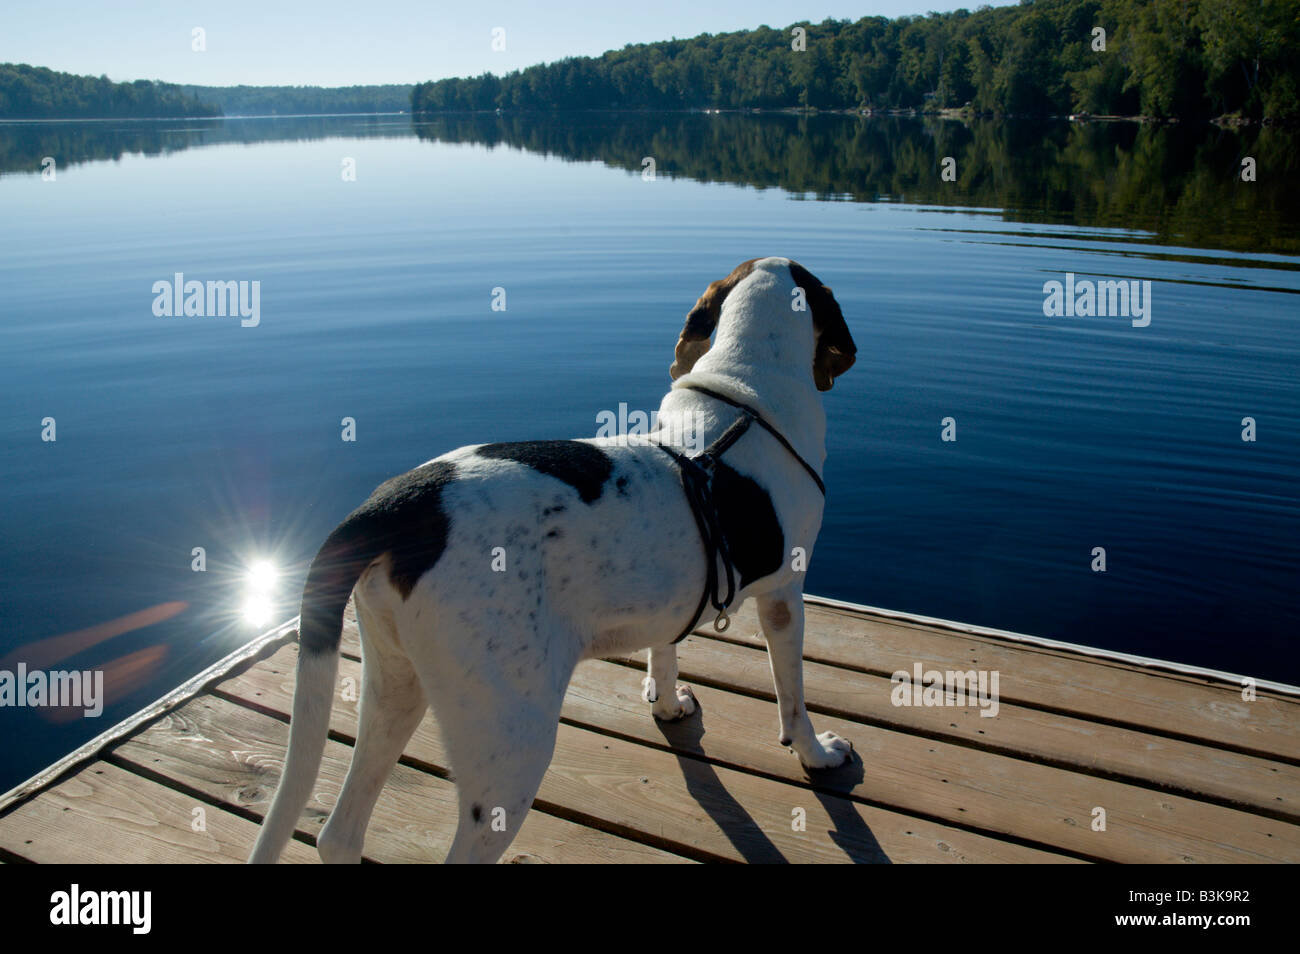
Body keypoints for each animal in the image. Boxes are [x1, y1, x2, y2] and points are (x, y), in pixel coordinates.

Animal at [248, 254, 857, 868]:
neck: (745, 390)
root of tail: (397, 505)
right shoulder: (785, 597)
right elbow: (793, 696)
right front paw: (816, 753)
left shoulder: (676, 604)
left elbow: (665, 652)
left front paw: (667, 705)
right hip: (511, 747)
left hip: (394, 686)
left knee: (339, 834)